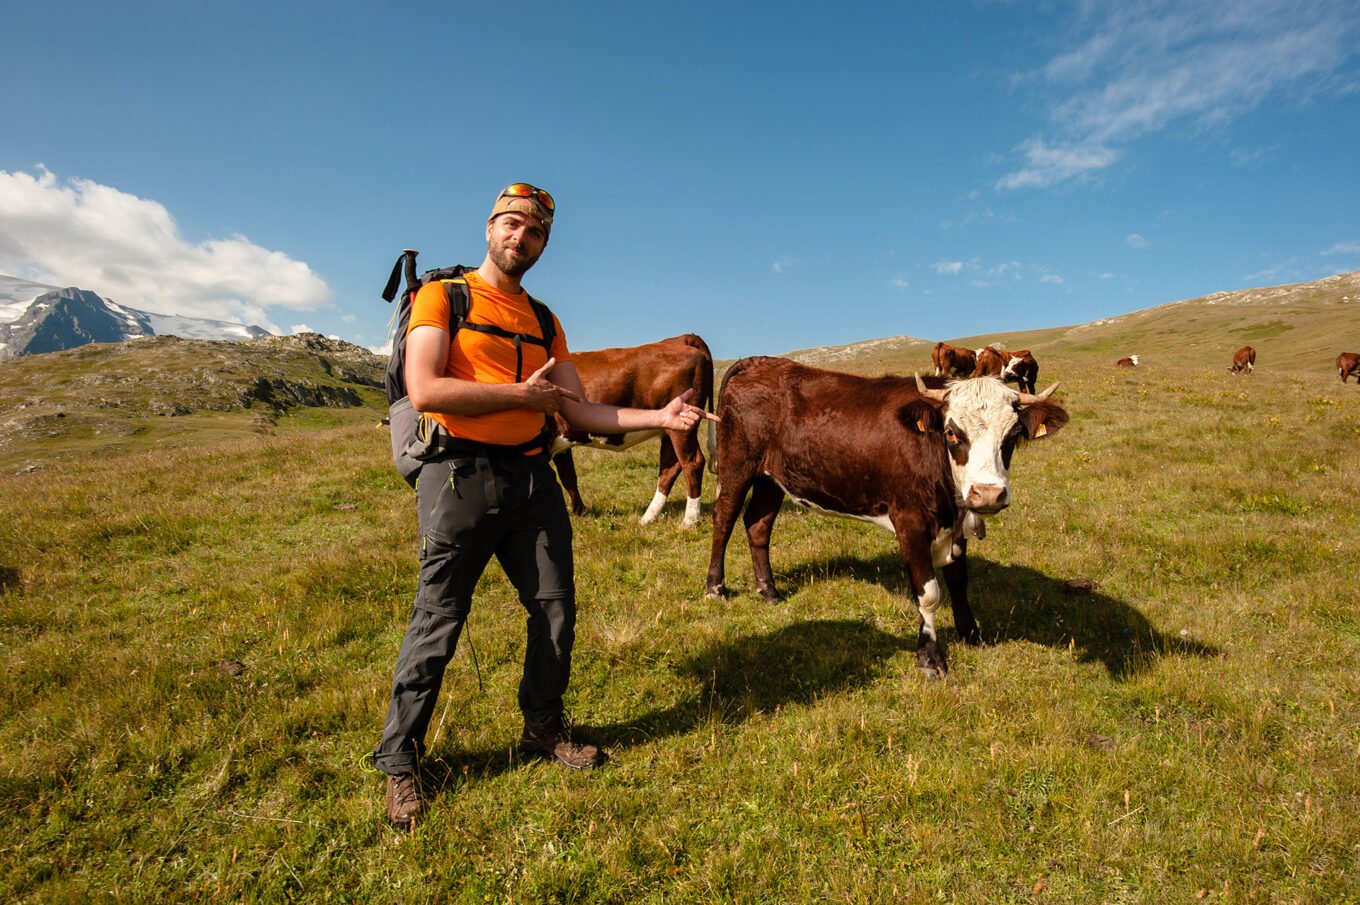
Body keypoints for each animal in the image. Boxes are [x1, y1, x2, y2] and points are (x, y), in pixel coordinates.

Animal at [552, 334, 718, 525]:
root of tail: (681, 338)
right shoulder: (561, 443)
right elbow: (568, 476)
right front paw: (581, 512)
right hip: (669, 430)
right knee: (670, 467)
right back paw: (648, 517)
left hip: (682, 428)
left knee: (692, 463)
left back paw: (689, 521)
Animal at [707, 356, 1066, 675]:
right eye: (952, 432)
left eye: (1013, 435)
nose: (988, 493)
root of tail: (758, 361)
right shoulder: (910, 522)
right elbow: (929, 594)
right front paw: (930, 657)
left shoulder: (956, 525)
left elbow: (958, 581)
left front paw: (971, 633)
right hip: (737, 465)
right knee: (724, 520)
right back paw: (716, 588)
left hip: (771, 479)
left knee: (758, 525)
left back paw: (769, 591)